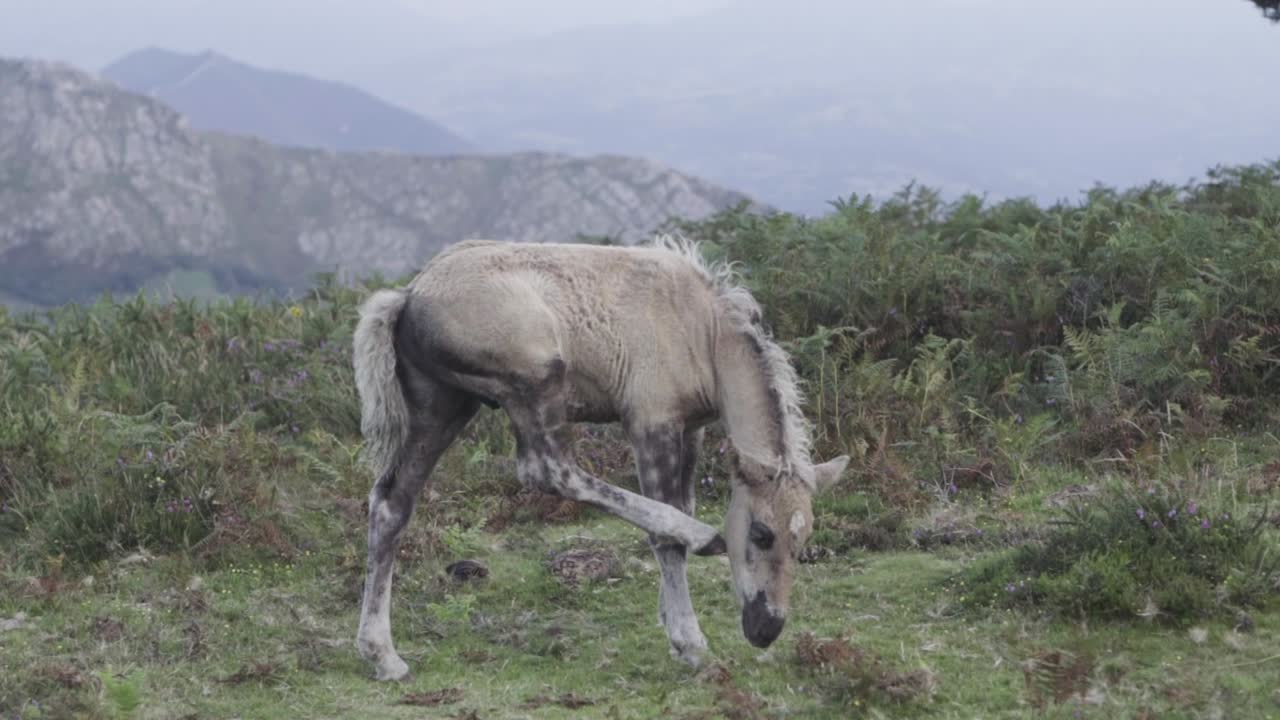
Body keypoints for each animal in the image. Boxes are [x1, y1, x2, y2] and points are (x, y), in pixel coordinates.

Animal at [352, 235, 849, 681]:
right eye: (762, 533)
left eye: (804, 537)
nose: (766, 629)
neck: (703, 332)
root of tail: (407, 296)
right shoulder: (651, 421)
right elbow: (665, 533)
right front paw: (689, 641)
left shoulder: (692, 428)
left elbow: (682, 505)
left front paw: (670, 622)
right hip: (535, 378)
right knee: (547, 468)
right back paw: (703, 536)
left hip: (441, 404)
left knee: (392, 502)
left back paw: (383, 656)